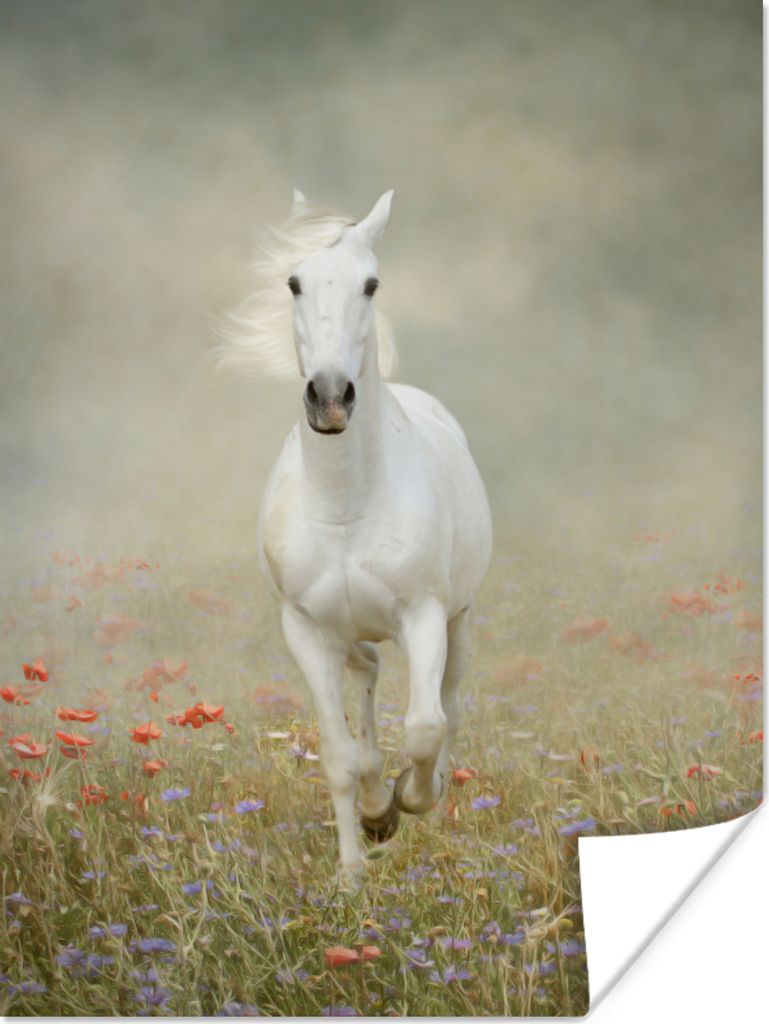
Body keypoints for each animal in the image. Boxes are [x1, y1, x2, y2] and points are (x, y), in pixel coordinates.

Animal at [221, 189, 492, 883]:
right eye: (293, 282)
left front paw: (410, 799)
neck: (346, 507)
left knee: (450, 704)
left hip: (459, 622)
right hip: (345, 632)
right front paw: (356, 860)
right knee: (366, 673)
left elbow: (425, 725)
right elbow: (339, 756)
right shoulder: (305, 631)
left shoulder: (423, 615)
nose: (330, 397)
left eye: (371, 283)